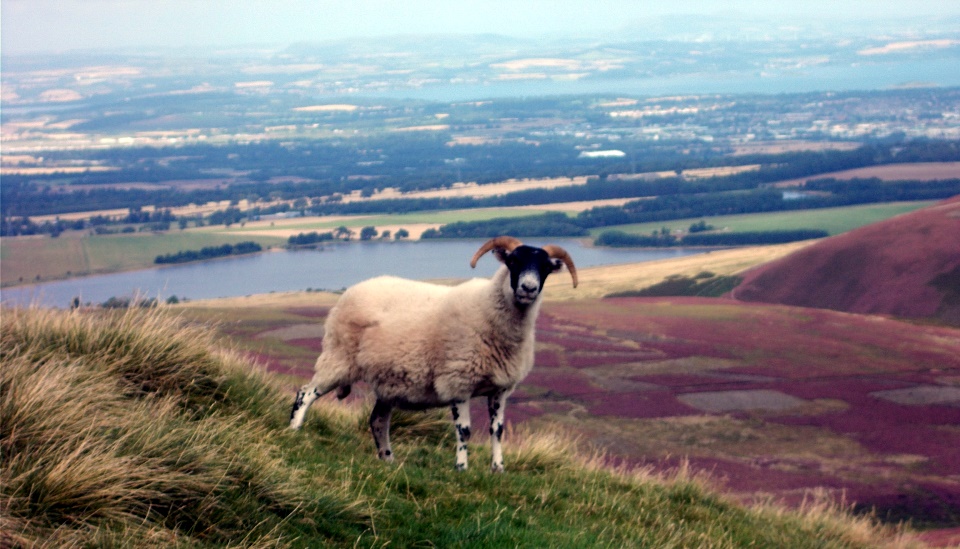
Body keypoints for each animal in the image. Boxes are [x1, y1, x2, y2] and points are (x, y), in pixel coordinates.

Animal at [288, 235, 576, 470]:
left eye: (545, 268)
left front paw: (498, 469)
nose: (528, 288)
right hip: (338, 358)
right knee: (306, 394)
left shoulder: (500, 389)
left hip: (388, 381)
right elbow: (464, 431)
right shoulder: (458, 382)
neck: (489, 309)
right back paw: (294, 430)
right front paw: (461, 468)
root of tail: (352, 290)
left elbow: (497, 430)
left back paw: (388, 459)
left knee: (377, 420)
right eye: (513, 261)